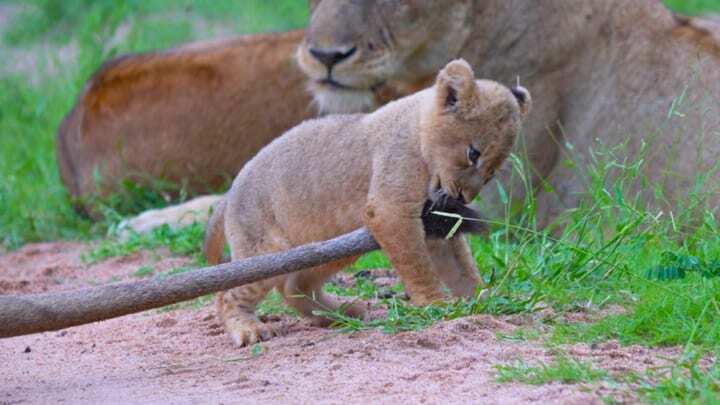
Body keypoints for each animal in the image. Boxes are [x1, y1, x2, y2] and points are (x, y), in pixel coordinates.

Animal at [203, 59, 531, 346]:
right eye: (473, 154)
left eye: (492, 172)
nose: (463, 197)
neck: (419, 125)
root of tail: (231, 190)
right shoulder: (390, 209)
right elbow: (417, 265)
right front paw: (435, 303)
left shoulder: (436, 223)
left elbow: (462, 267)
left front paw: (483, 298)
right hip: (266, 250)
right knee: (228, 294)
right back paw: (248, 330)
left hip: (327, 249)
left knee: (294, 286)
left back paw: (341, 314)